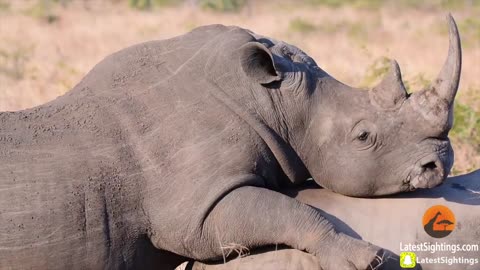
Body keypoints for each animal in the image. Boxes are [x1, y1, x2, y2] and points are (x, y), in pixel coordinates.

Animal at [1, 14, 464, 270]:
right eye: (364, 136)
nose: (440, 164)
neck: (274, 99)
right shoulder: (195, 211)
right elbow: (288, 211)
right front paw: (363, 259)